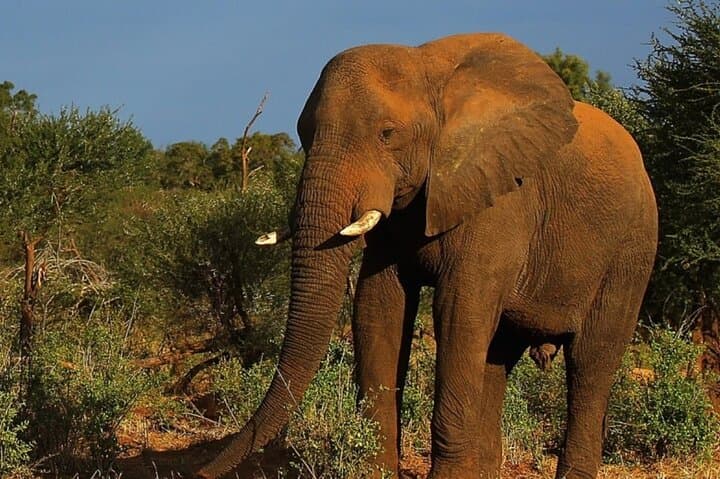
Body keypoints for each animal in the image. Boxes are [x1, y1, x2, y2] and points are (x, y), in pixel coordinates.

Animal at [197, 33, 658, 479]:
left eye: (387, 134)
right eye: (304, 135)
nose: (200, 472)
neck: (427, 69)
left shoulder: (500, 199)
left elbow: (458, 312)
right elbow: (379, 307)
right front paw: (375, 473)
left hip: (632, 250)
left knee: (590, 364)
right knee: (498, 356)